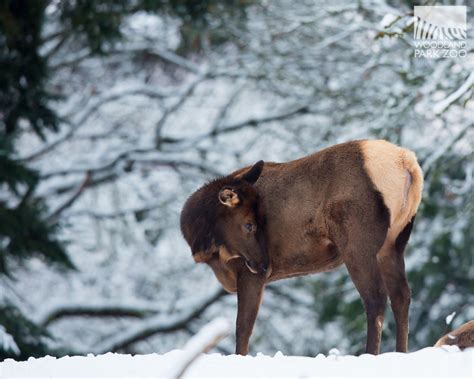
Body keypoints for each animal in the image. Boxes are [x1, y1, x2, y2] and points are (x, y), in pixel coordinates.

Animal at [181, 140, 422, 356]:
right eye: (250, 224)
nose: (265, 264)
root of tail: (407, 163)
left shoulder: (248, 273)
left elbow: (243, 329)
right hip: (394, 243)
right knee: (402, 295)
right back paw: (401, 352)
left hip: (357, 240)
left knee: (376, 297)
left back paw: (369, 354)